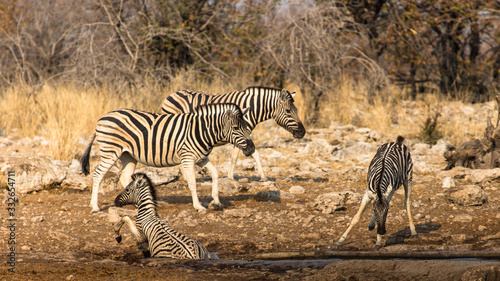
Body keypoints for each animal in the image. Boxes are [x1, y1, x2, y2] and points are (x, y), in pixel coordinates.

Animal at [162, 86, 306, 180]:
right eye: (288, 111)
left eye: (296, 109)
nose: (302, 132)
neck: (252, 109)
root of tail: (172, 94)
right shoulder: (238, 134)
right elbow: (236, 157)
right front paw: (230, 178)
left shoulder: (243, 135)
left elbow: (254, 153)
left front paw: (263, 176)